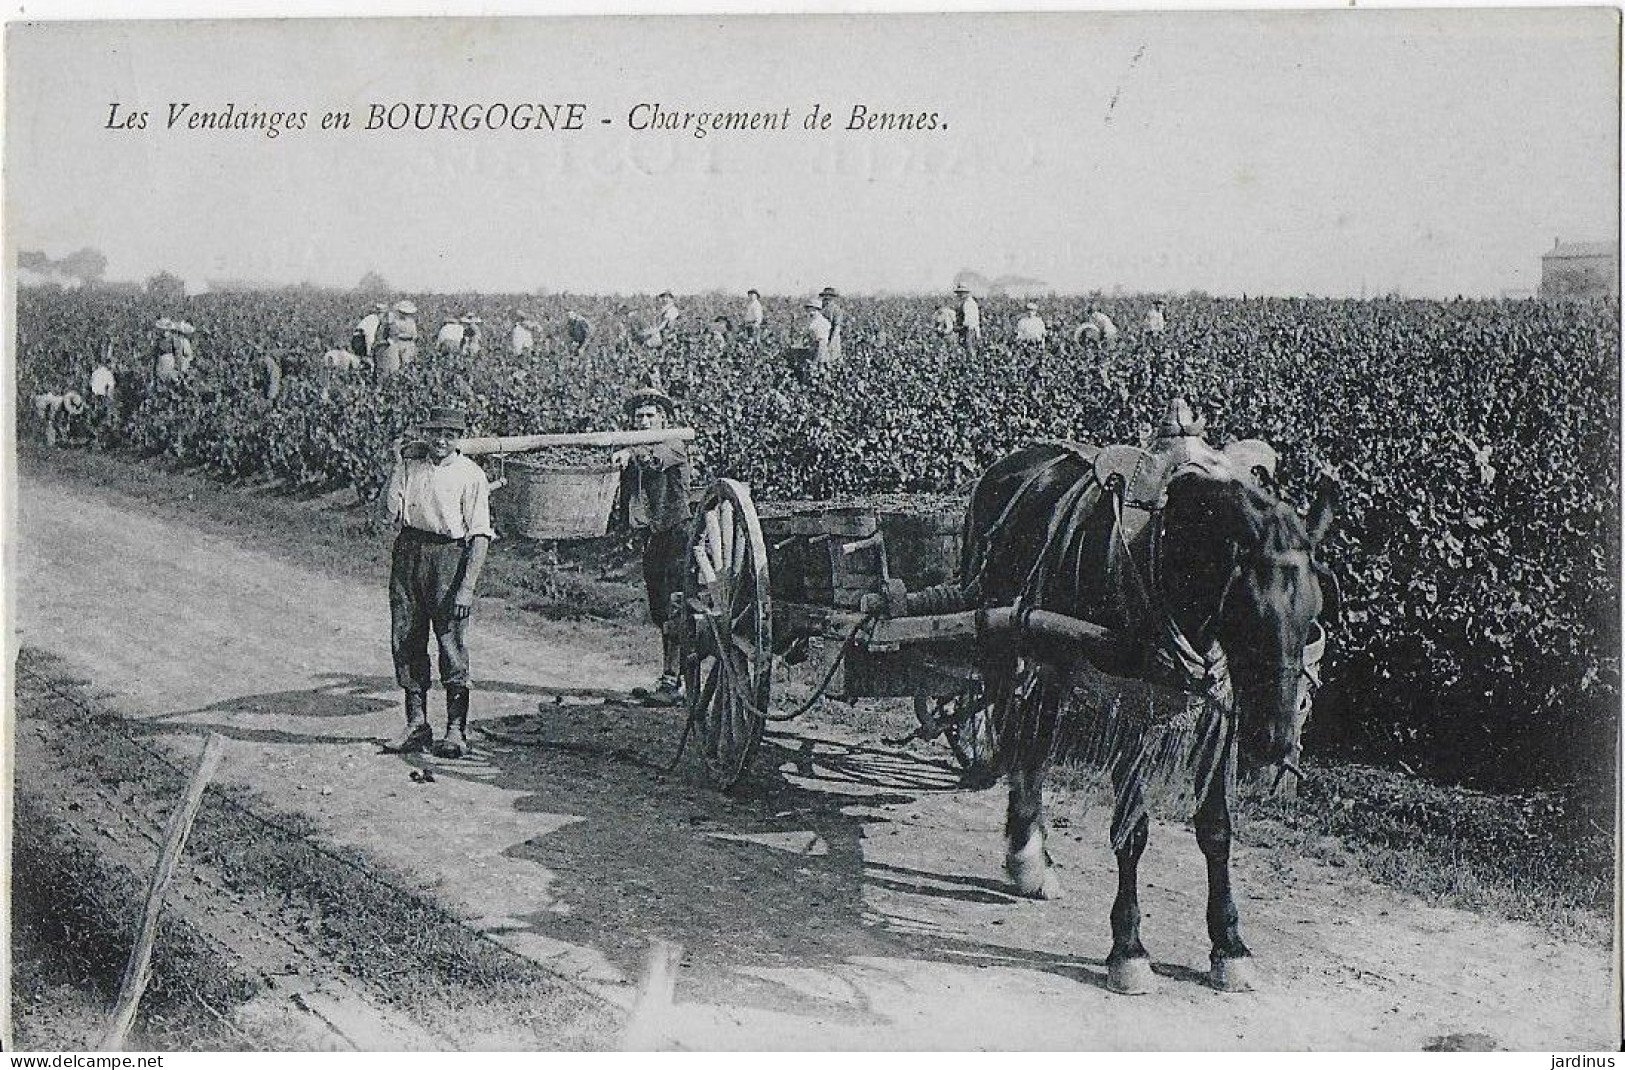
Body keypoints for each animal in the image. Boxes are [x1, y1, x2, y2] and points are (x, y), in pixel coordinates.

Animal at [962, 439, 1332, 988]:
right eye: (1249, 611)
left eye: (1312, 612)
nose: (1275, 742)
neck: (1171, 559)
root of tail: (1014, 461)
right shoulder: (1134, 707)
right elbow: (1132, 831)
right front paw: (1129, 948)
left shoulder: (1219, 712)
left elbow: (1216, 829)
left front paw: (1229, 944)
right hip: (1012, 645)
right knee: (1021, 740)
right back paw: (1027, 854)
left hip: (1050, 656)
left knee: (1033, 742)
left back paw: (1030, 859)